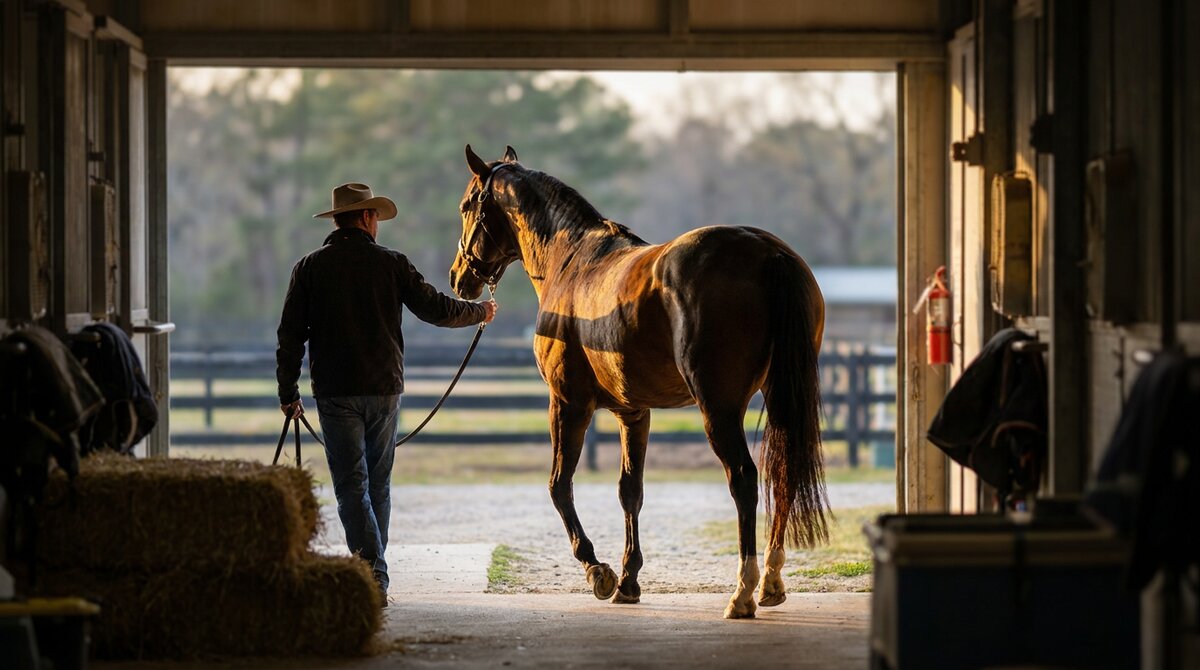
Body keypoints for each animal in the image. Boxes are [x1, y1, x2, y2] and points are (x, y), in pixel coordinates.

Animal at [449, 145, 829, 619]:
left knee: (743, 478)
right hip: (780, 396)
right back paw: (771, 583)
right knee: (783, 474)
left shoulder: (568, 402)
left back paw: (742, 591)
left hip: (719, 408)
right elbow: (630, 490)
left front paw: (598, 571)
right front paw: (628, 580)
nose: (458, 278)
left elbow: (559, 485)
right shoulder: (633, 412)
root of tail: (767, 252)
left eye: (467, 206)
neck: (571, 261)